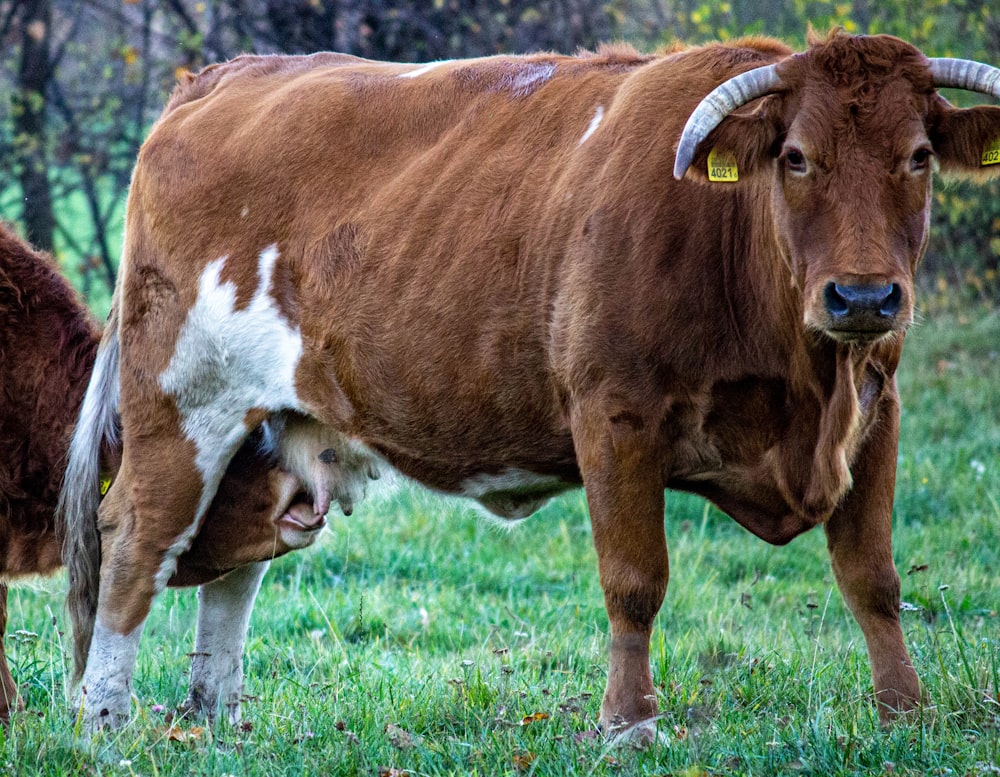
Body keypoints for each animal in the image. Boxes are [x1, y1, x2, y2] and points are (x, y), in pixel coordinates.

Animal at [60, 30, 1000, 740]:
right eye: (797, 158)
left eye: (919, 156)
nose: (863, 296)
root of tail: (227, 75)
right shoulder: (615, 414)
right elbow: (635, 579)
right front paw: (629, 725)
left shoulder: (876, 410)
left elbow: (873, 576)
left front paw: (905, 711)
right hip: (183, 402)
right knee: (135, 536)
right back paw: (105, 718)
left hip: (273, 427)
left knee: (237, 564)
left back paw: (215, 714)